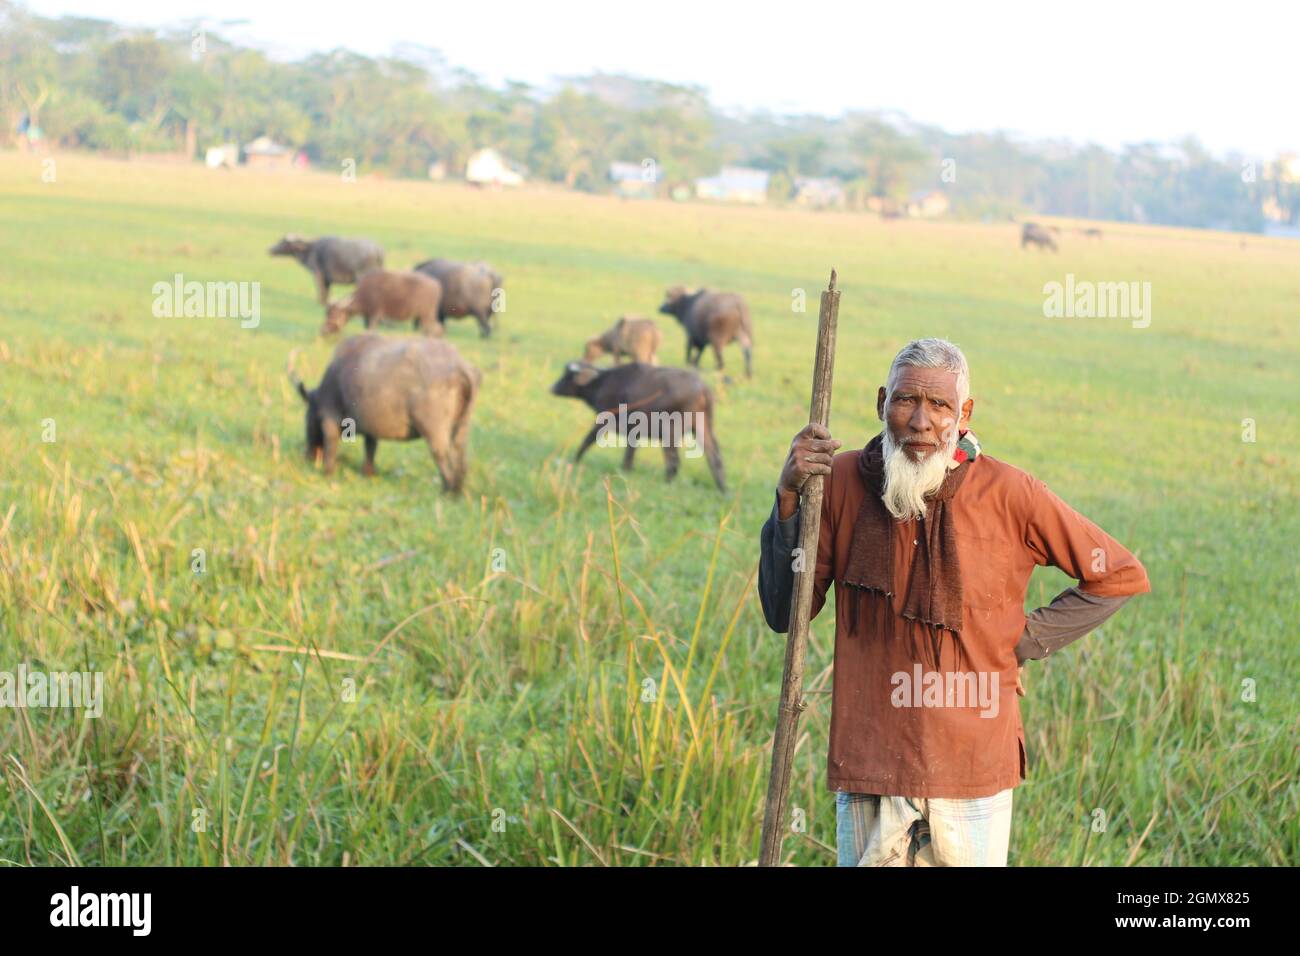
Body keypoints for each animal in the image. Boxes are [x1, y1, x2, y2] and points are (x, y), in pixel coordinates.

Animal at [289, 332, 483, 494]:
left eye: (307, 418)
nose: (308, 456)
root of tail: (459, 365)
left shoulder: (330, 418)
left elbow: (331, 446)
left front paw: (328, 472)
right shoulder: (370, 427)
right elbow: (371, 447)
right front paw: (368, 473)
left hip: (434, 430)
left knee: (442, 456)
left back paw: (447, 491)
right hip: (461, 427)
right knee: (460, 459)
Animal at [548, 361, 728, 494]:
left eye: (569, 376)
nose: (552, 387)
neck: (604, 382)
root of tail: (702, 387)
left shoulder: (604, 420)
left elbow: (588, 440)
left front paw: (575, 459)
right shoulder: (633, 431)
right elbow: (630, 452)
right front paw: (626, 470)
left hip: (670, 431)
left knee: (674, 461)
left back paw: (667, 483)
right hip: (704, 426)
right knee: (715, 458)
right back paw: (723, 489)